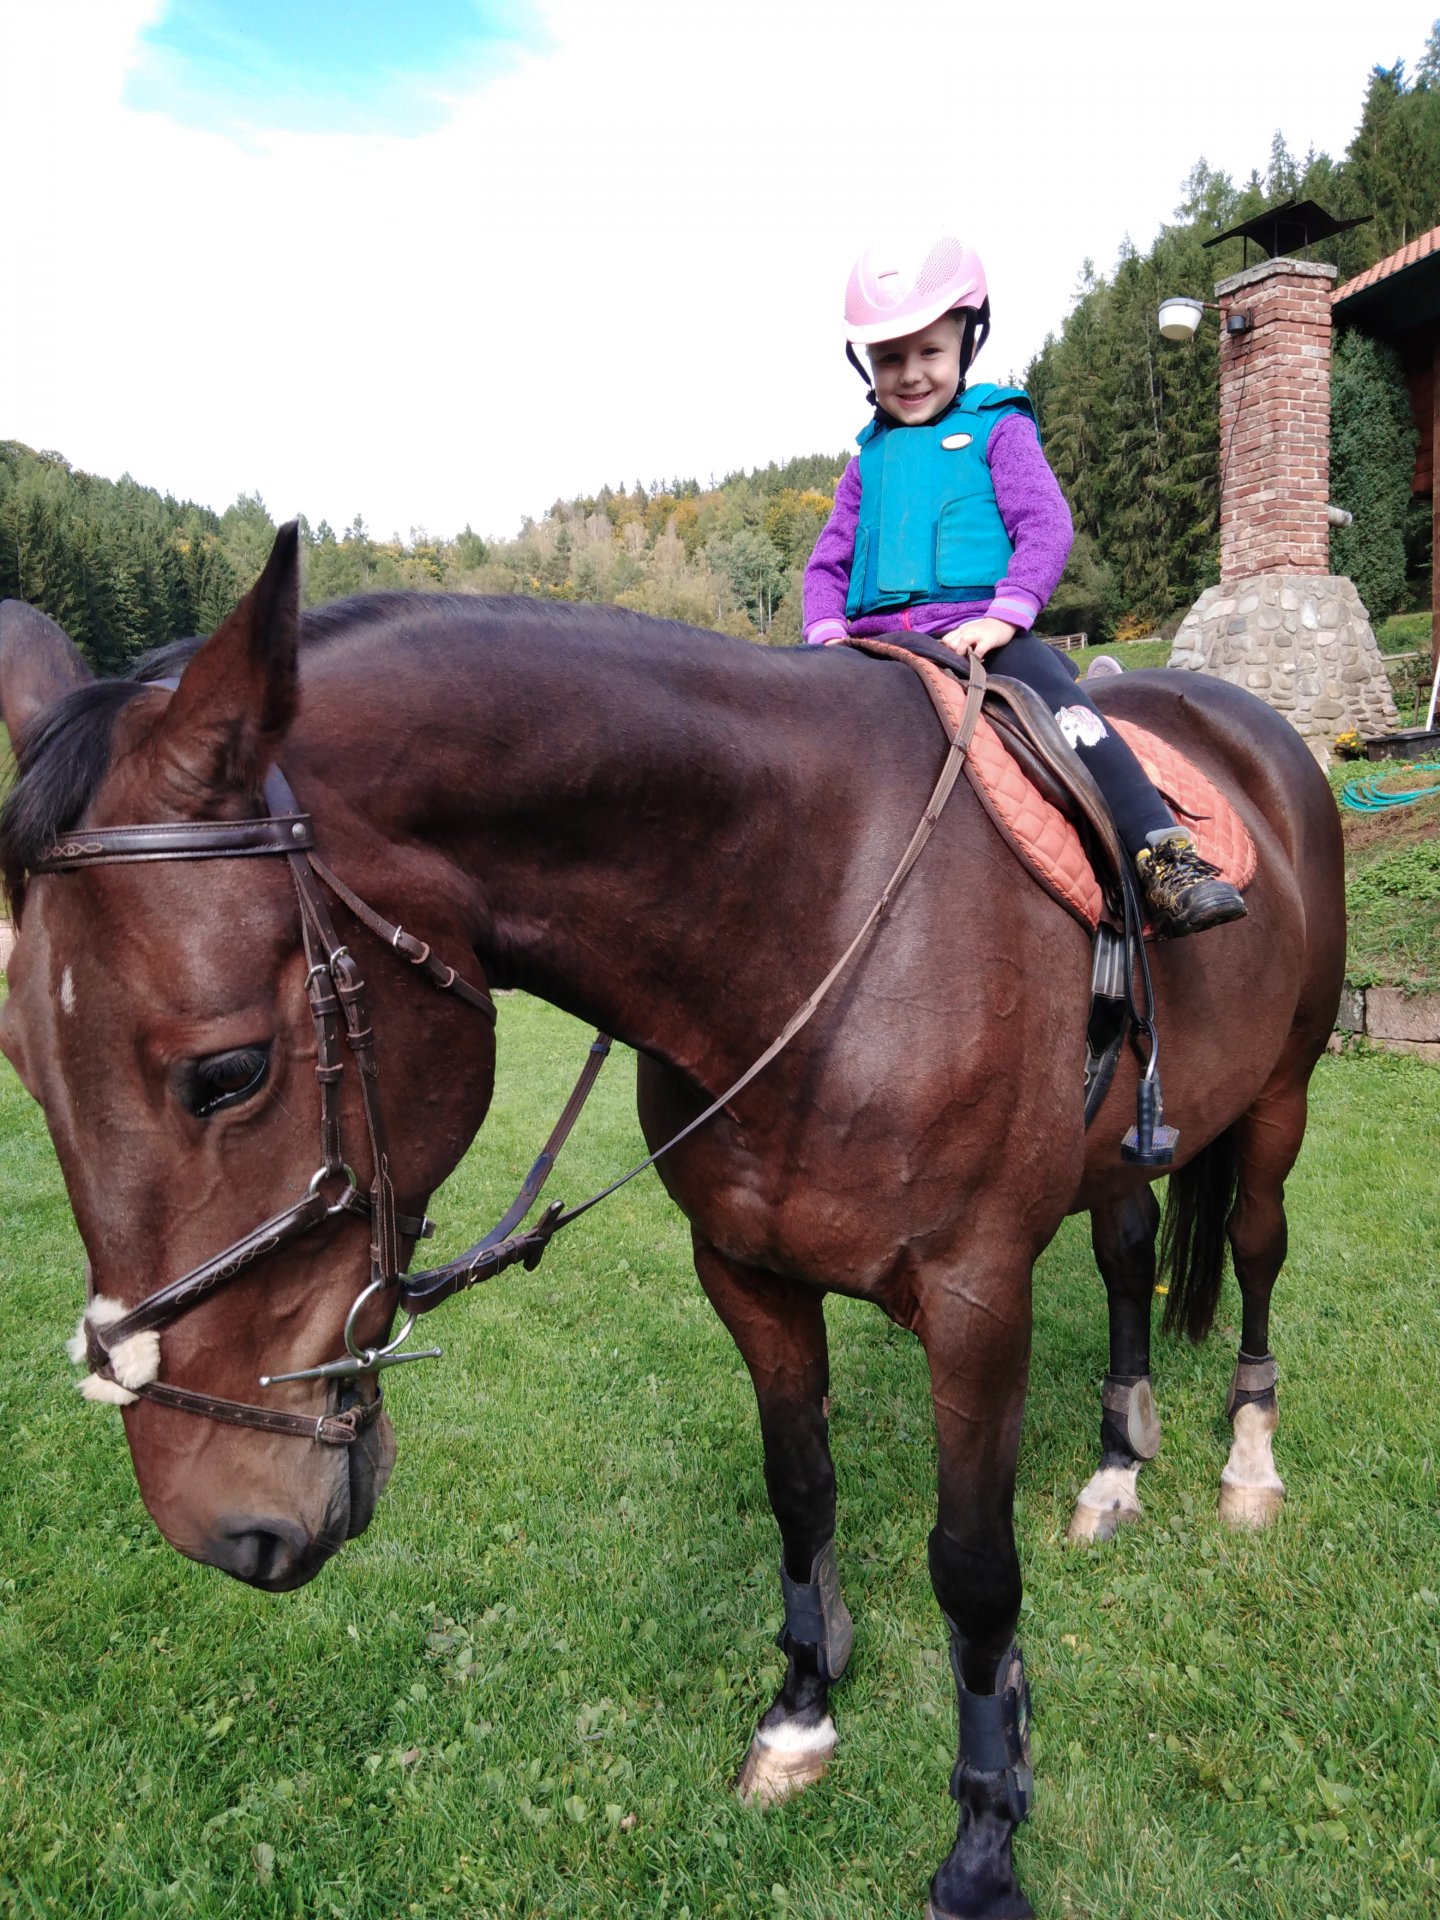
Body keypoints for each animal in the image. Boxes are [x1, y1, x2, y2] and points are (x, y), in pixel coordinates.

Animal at [2, 529, 1351, 1920]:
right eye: (22, 1066)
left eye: (227, 1074)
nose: (217, 1523)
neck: (816, 908)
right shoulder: (746, 1273)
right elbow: (801, 1493)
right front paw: (803, 1716)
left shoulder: (978, 1295)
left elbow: (973, 1566)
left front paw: (985, 1839)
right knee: (1131, 1257)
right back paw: (1116, 1467)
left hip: (1283, 1092)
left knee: (1254, 1251)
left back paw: (1248, 1460)